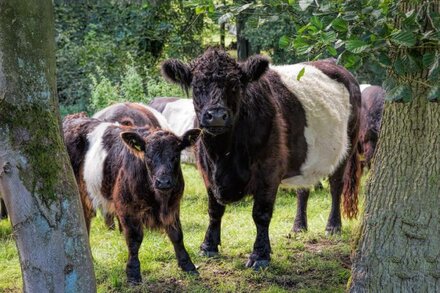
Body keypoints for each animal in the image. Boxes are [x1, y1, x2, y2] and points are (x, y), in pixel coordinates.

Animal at [62, 111, 199, 282]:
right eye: (148, 156)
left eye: (175, 155)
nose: (163, 182)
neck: (159, 201)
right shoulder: (126, 207)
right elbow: (134, 239)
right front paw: (133, 273)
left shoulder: (174, 205)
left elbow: (177, 235)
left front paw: (188, 265)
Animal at [162, 48, 360, 270]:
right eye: (197, 86)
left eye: (235, 86)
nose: (217, 116)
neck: (223, 155)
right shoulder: (207, 171)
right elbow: (214, 209)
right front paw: (208, 246)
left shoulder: (269, 169)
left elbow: (261, 213)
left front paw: (260, 255)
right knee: (303, 189)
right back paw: (299, 227)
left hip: (347, 147)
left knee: (336, 185)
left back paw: (333, 226)